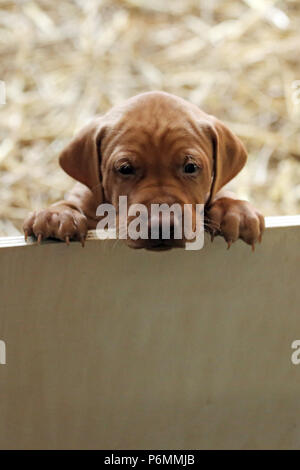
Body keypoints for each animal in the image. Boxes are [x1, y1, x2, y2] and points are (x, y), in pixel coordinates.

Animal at [24, 92, 264, 252]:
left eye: (191, 167)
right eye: (125, 169)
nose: (162, 226)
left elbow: (221, 193)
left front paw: (236, 211)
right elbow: (70, 203)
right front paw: (56, 215)